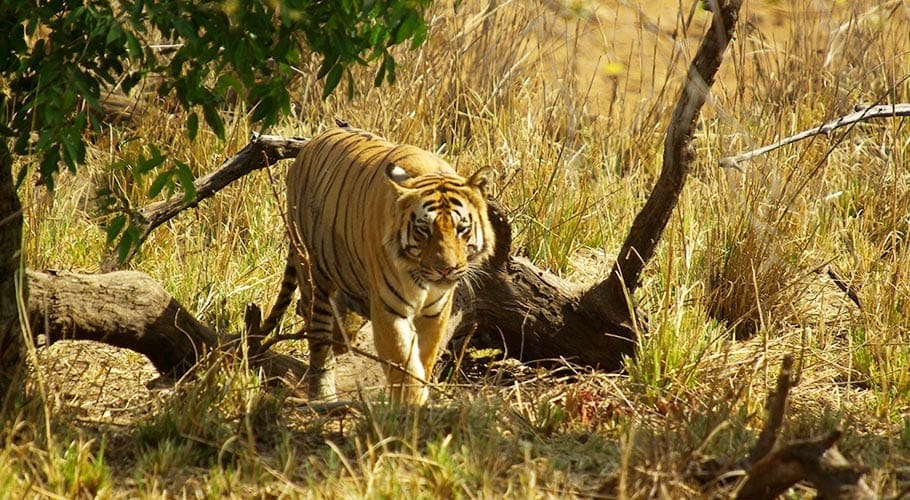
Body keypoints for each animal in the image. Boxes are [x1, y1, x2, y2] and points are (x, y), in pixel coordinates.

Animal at [260, 125, 496, 406]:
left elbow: (424, 359)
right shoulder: (389, 309)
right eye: (423, 230)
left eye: (461, 229)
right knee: (317, 334)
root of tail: (310, 143)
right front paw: (412, 407)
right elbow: (404, 365)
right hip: (313, 272)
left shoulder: (435, 312)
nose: (445, 269)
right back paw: (323, 394)